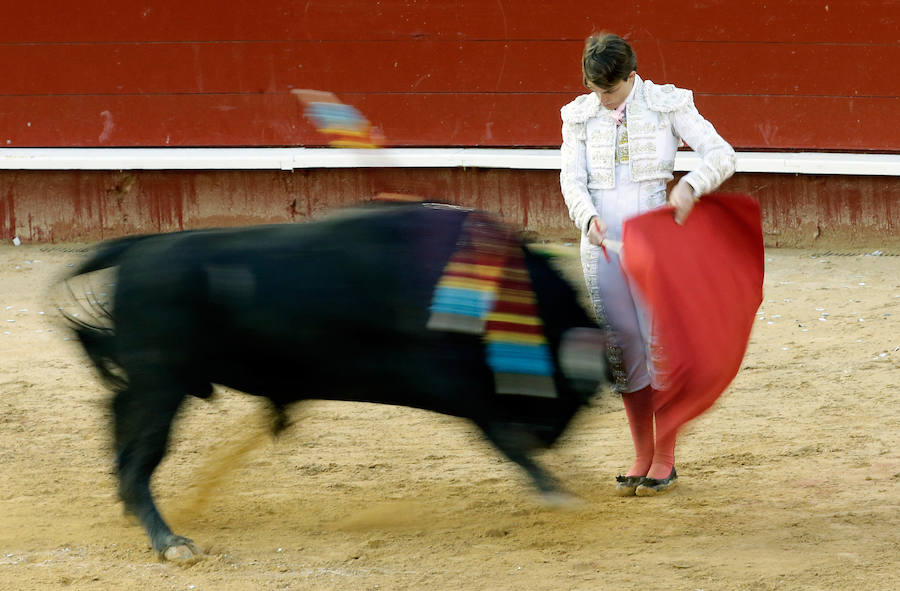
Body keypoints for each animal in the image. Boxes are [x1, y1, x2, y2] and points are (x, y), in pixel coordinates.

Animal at [61, 202, 612, 560]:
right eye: (572, 395)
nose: (552, 438)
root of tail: (142, 247)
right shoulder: (457, 384)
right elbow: (502, 436)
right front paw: (557, 491)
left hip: (155, 380)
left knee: (117, 416)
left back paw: (133, 510)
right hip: (160, 382)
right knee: (143, 449)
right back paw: (170, 541)